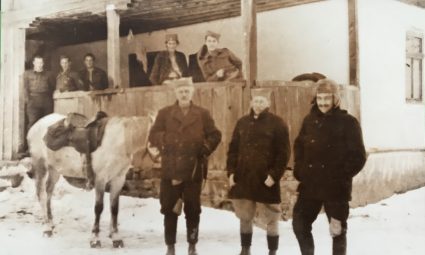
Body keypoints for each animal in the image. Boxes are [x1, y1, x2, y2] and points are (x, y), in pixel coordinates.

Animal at [26, 112, 154, 248]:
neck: (119, 141)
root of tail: (36, 125)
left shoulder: (118, 179)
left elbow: (114, 208)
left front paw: (115, 238)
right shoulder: (100, 179)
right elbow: (99, 208)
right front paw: (95, 239)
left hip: (54, 169)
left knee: (49, 192)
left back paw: (51, 223)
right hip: (40, 166)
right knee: (41, 195)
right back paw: (47, 229)